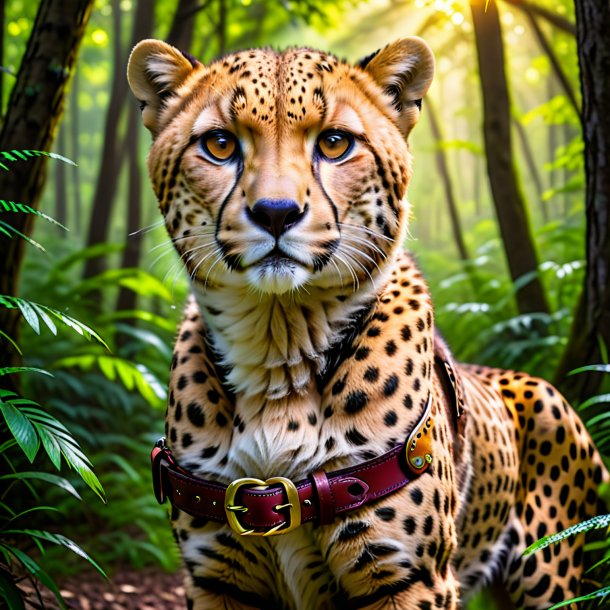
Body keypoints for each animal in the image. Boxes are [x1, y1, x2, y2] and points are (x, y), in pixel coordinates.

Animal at [127, 38, 604, 608]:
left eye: (335, 143)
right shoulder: (216, 579)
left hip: (549, 579)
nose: (275, 212)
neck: (277, 352)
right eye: (220, 144)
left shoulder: (409, 577)